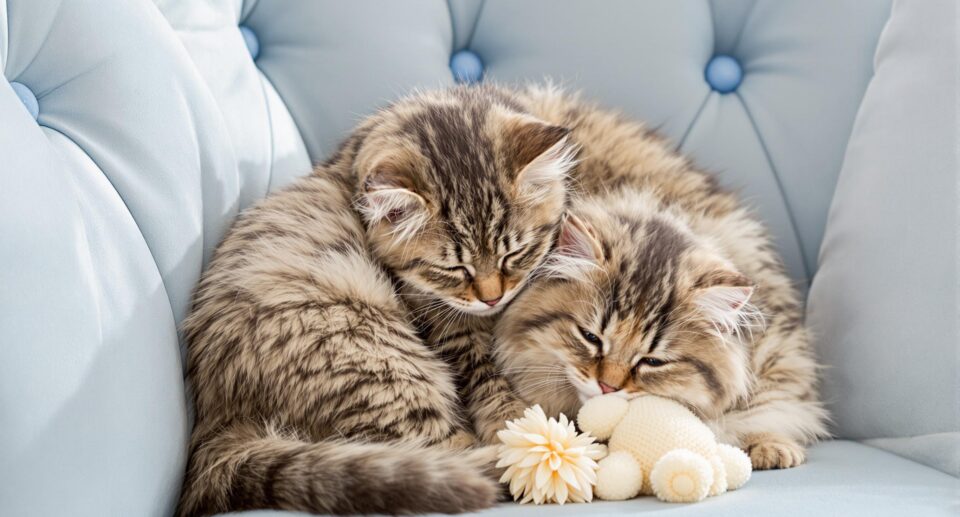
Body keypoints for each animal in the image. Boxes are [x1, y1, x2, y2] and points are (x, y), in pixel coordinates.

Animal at [176, 86, 572, 512]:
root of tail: (216, 421)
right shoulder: (441, 321)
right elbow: (487, 378)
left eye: (514, 255)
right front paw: (513, 421)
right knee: (444, 452)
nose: (492, 299)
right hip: (380, 366)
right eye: (453, 269)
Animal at [492, 87, 828, 468]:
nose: (608, 388)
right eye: (591, 338)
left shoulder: (775, 352)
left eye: (652, 361)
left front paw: (771, 446)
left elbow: (765, 407)